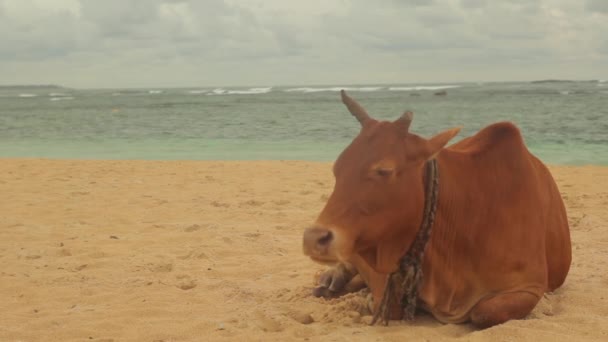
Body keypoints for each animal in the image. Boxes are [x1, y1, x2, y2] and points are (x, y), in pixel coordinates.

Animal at [302, 89, 568, 328]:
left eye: (384, 170)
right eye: (337, 168)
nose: (314, 238)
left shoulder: (530, 287)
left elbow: (484, 312)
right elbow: (388, 304)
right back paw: (333, 278)